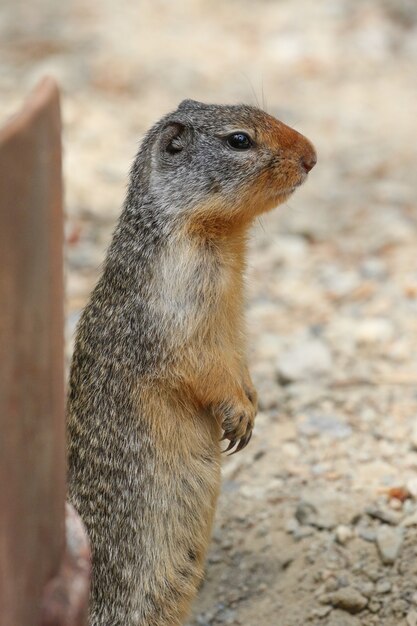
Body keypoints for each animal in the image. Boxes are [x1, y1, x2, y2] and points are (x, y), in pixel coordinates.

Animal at [67, 100, 316, 624]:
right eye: (239, 140)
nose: (312, 155)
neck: (221, 241)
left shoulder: (232, 323)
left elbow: (238, 359)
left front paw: (253, 401)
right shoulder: (177, 315)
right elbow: (202, 368)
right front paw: (238, 414)